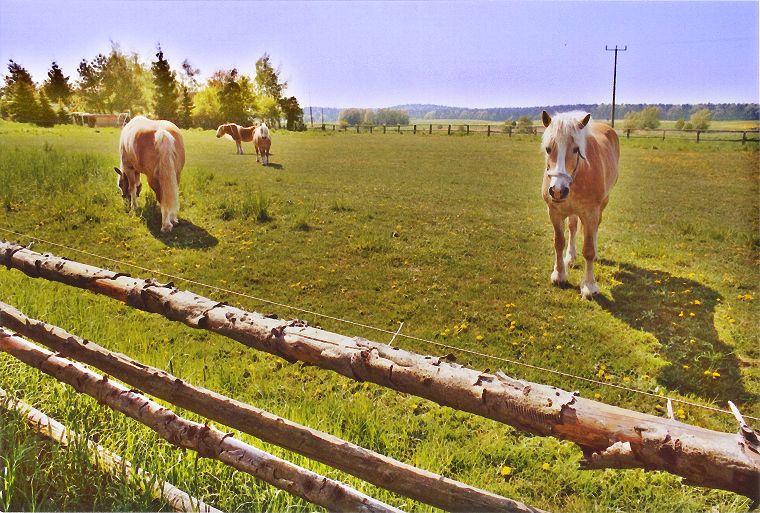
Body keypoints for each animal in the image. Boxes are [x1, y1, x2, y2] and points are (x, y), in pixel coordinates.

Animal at [540, 111, 620, 299]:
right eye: (548, 149)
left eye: (576, 149)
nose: (558, 190)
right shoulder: (554, 212)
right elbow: (559, 242)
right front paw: (559, 275)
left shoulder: (590, 213)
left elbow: (588, 250)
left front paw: (589, 287)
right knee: (573, 227)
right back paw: (570, 257)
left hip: (603, 203)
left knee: (595, 228)